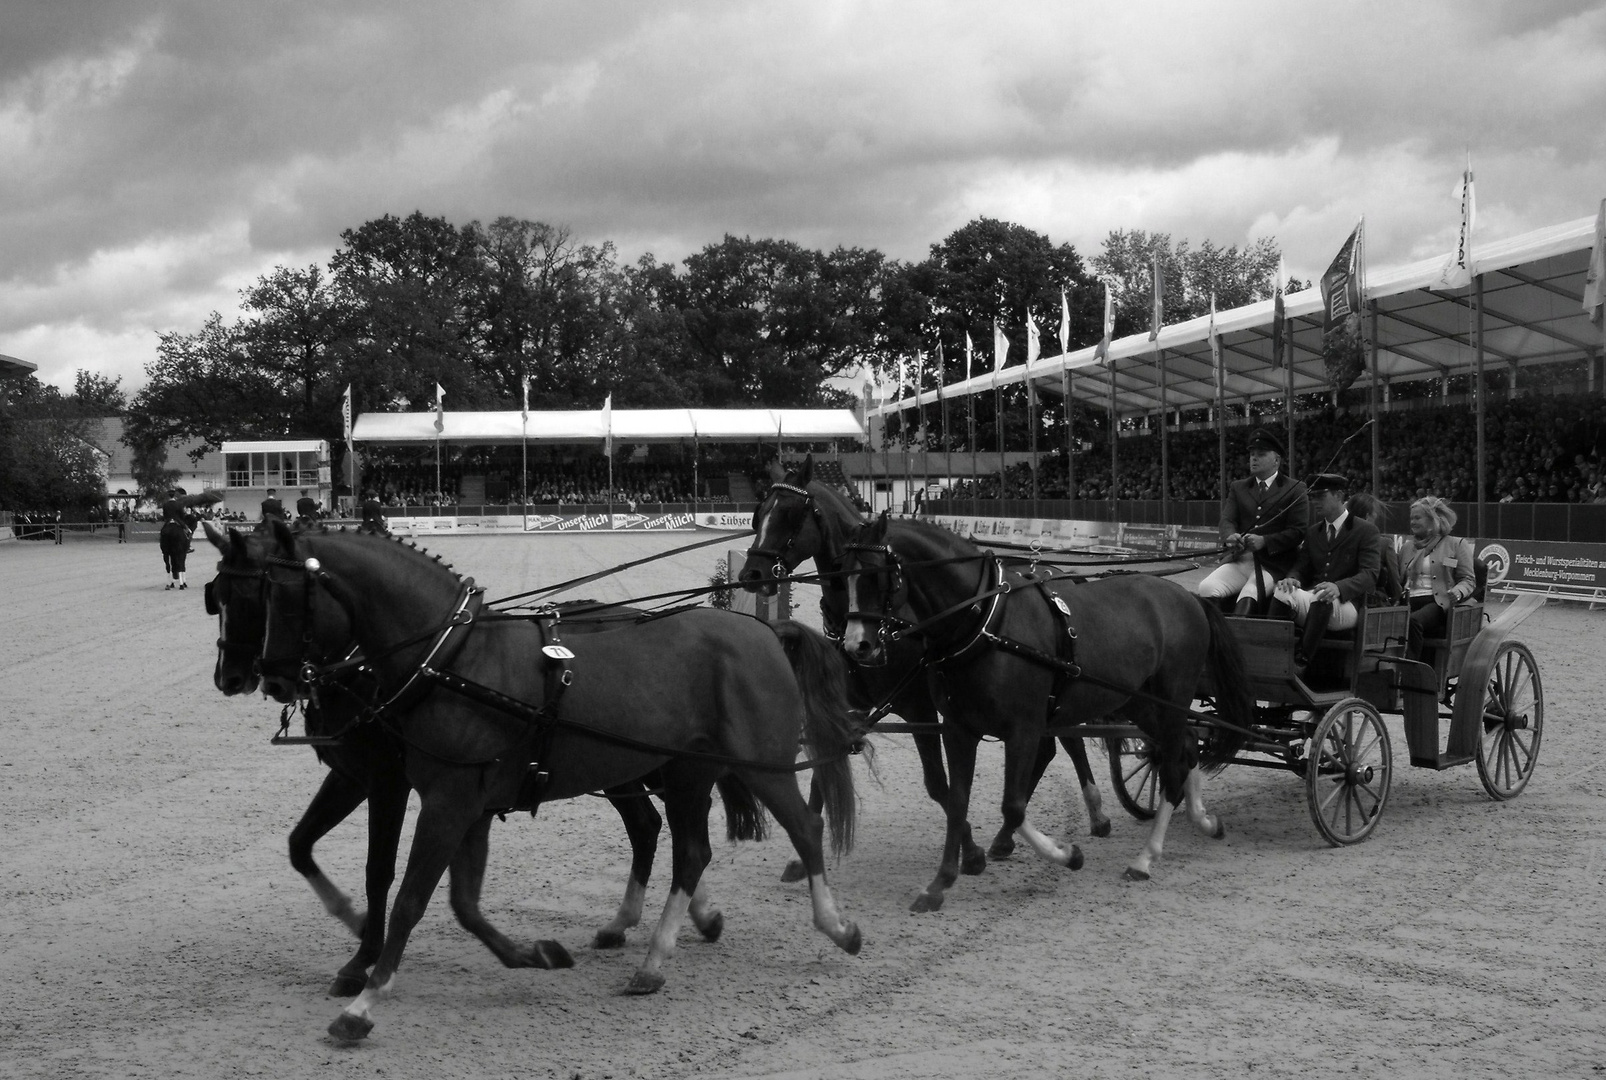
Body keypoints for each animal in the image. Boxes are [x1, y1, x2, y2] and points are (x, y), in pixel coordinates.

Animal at [250, 517, 867, 1041]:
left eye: (282, 598)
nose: (268, 678)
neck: (454, 660)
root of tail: (763, 629)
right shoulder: (465, 803)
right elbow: (460, 902)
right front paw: (533, 954)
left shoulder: (444, 800)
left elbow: (409, 898)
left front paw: (363, 1002)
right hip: (685, 775)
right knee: (688, 850)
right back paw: (655, 958)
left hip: (762, 766)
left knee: (804, 828)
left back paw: (835, 927)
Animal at [735, 456, 1104, 887]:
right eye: (759, 512)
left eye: (791, 514)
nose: (752, 575)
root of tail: (1054, 572)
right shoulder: (848, 704)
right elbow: (821, 776)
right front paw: (801, 858)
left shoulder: (918, 709)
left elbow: (939, 785)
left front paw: (969, 851)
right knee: (1048, 747)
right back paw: (1008, 837)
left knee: (1070, 743)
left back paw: (1088, 814)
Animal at [841, 511, 1252, 900]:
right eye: (843, 576)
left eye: (875, 576)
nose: (856, 646)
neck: (985, 622)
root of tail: (1187, 597)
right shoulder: (958, 727)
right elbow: (957, 800)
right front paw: (940, 883)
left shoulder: (1022, 728)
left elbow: (1013, 805)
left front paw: (1065, 855)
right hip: (1141, 703)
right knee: (1185, 747)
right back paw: (1203, 820)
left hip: (1172, 700)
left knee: (1172, 764)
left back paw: (1146, 857)